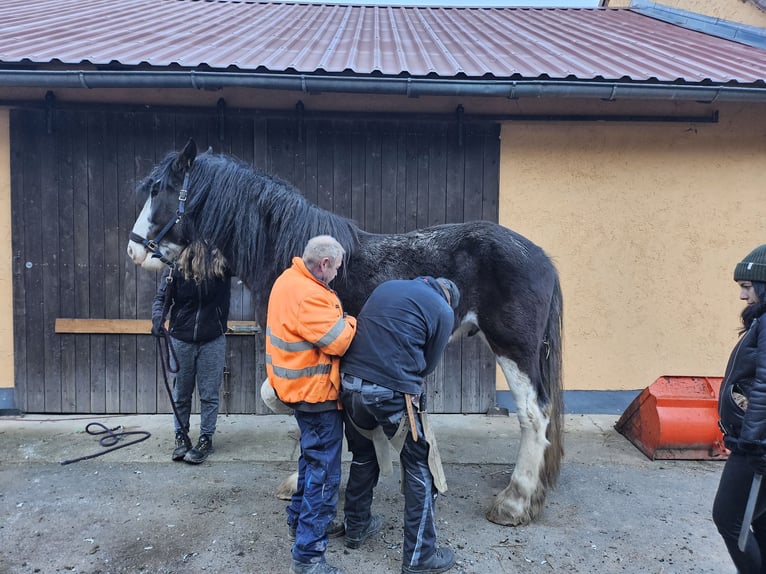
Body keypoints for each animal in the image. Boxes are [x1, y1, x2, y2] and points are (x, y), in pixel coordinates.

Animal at [127, 138, 564, 528]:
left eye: (159, 189)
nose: (134, 249)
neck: (291, 256)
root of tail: (541, 256)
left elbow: (289, 401)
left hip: (513, 347)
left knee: (533, 413)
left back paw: (515, 501)